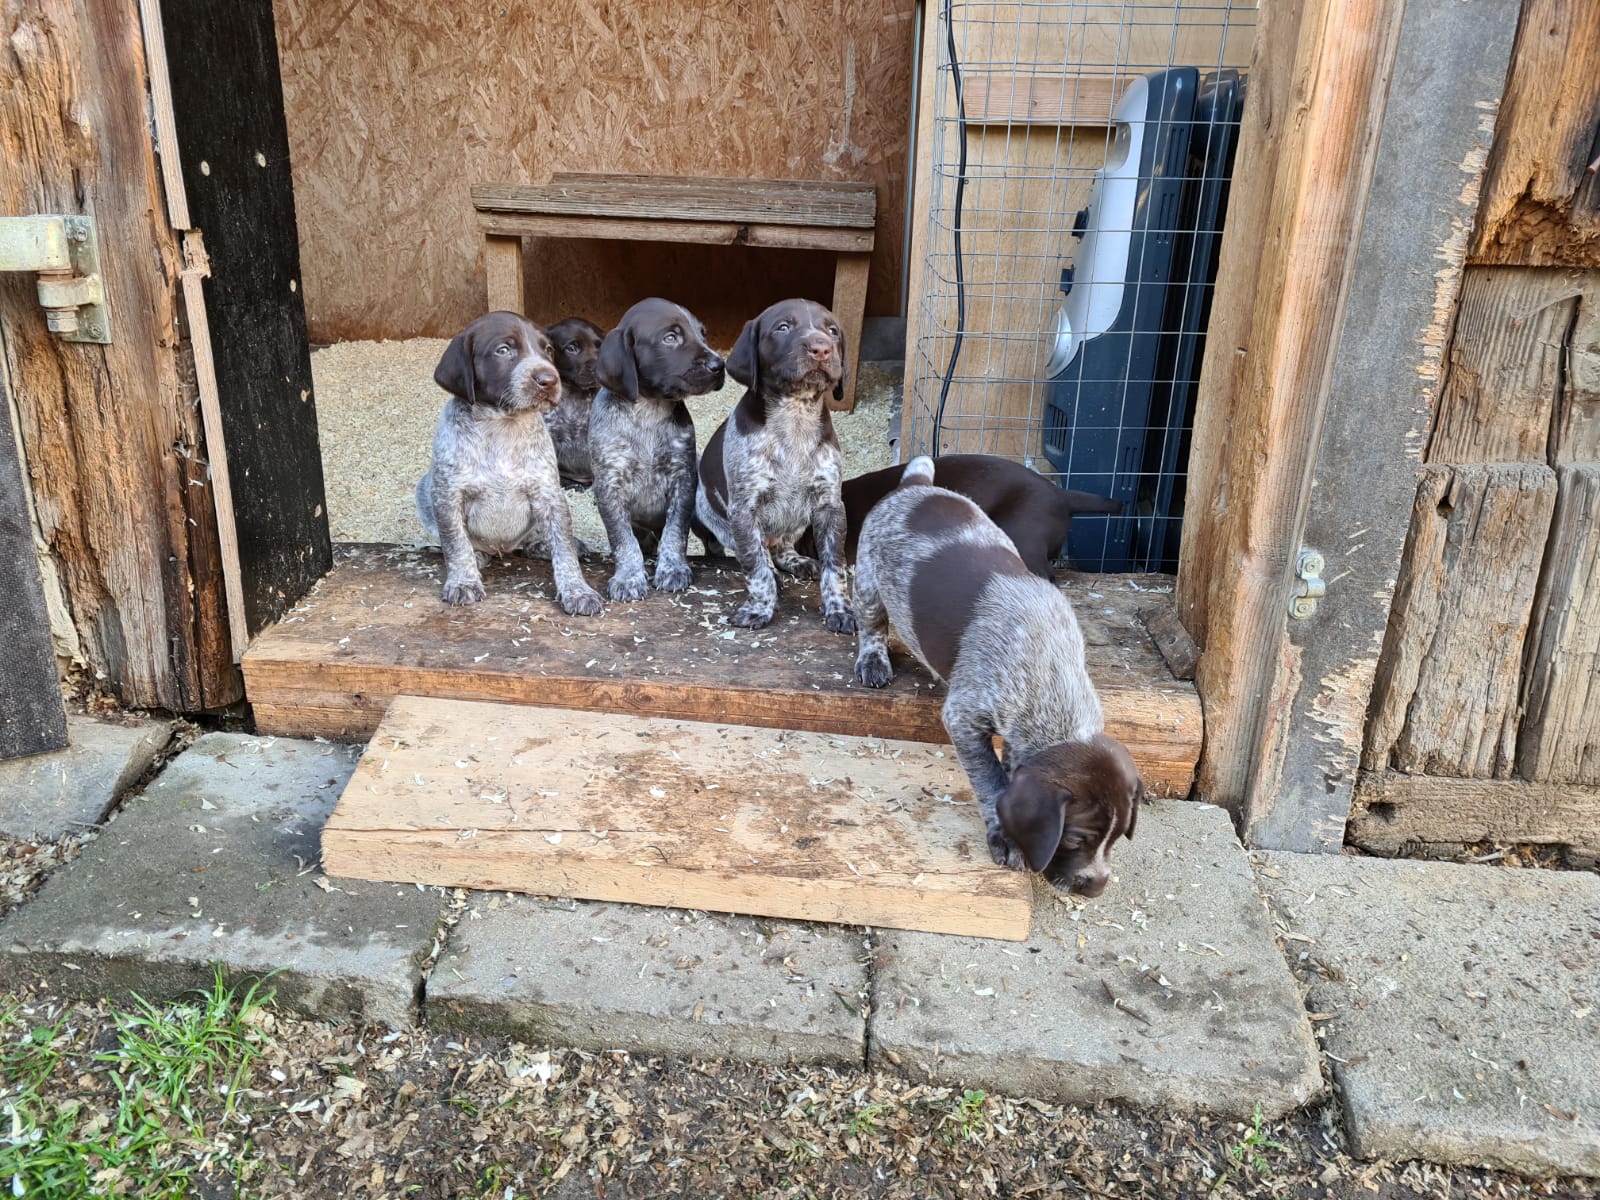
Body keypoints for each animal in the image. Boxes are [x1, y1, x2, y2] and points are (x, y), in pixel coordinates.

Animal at [588, 298, 725, 601]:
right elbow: (623, 540)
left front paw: (673, 568)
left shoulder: (682, 479)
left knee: (711, 541)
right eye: (670, 337)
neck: (648, 412)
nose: (719, 364)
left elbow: (676, 532)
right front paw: (628, 578)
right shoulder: (610, 486)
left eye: (703, 334)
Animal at [695, 298, 855, 632]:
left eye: (832, 330)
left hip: (799, 520)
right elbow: (755, 568)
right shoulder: (745, 509)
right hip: (714, 515)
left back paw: (796, 560)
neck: (795, 415)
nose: (821, 349)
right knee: (755, 552)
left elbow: (835, 568)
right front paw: (760, 608)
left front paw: (840, 609)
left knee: (780, 546)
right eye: (783, 327)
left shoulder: (830, 506)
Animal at [851, 456, 1140, 895]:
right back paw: (873, 658)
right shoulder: (964, 717)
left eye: (1118, 838)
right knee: (872, 624)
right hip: (868, 578)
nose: (1096, 887)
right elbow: (989, 780)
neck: (1052, 678)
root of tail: (914, 484)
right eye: (1076, 839)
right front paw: (1004, 836)